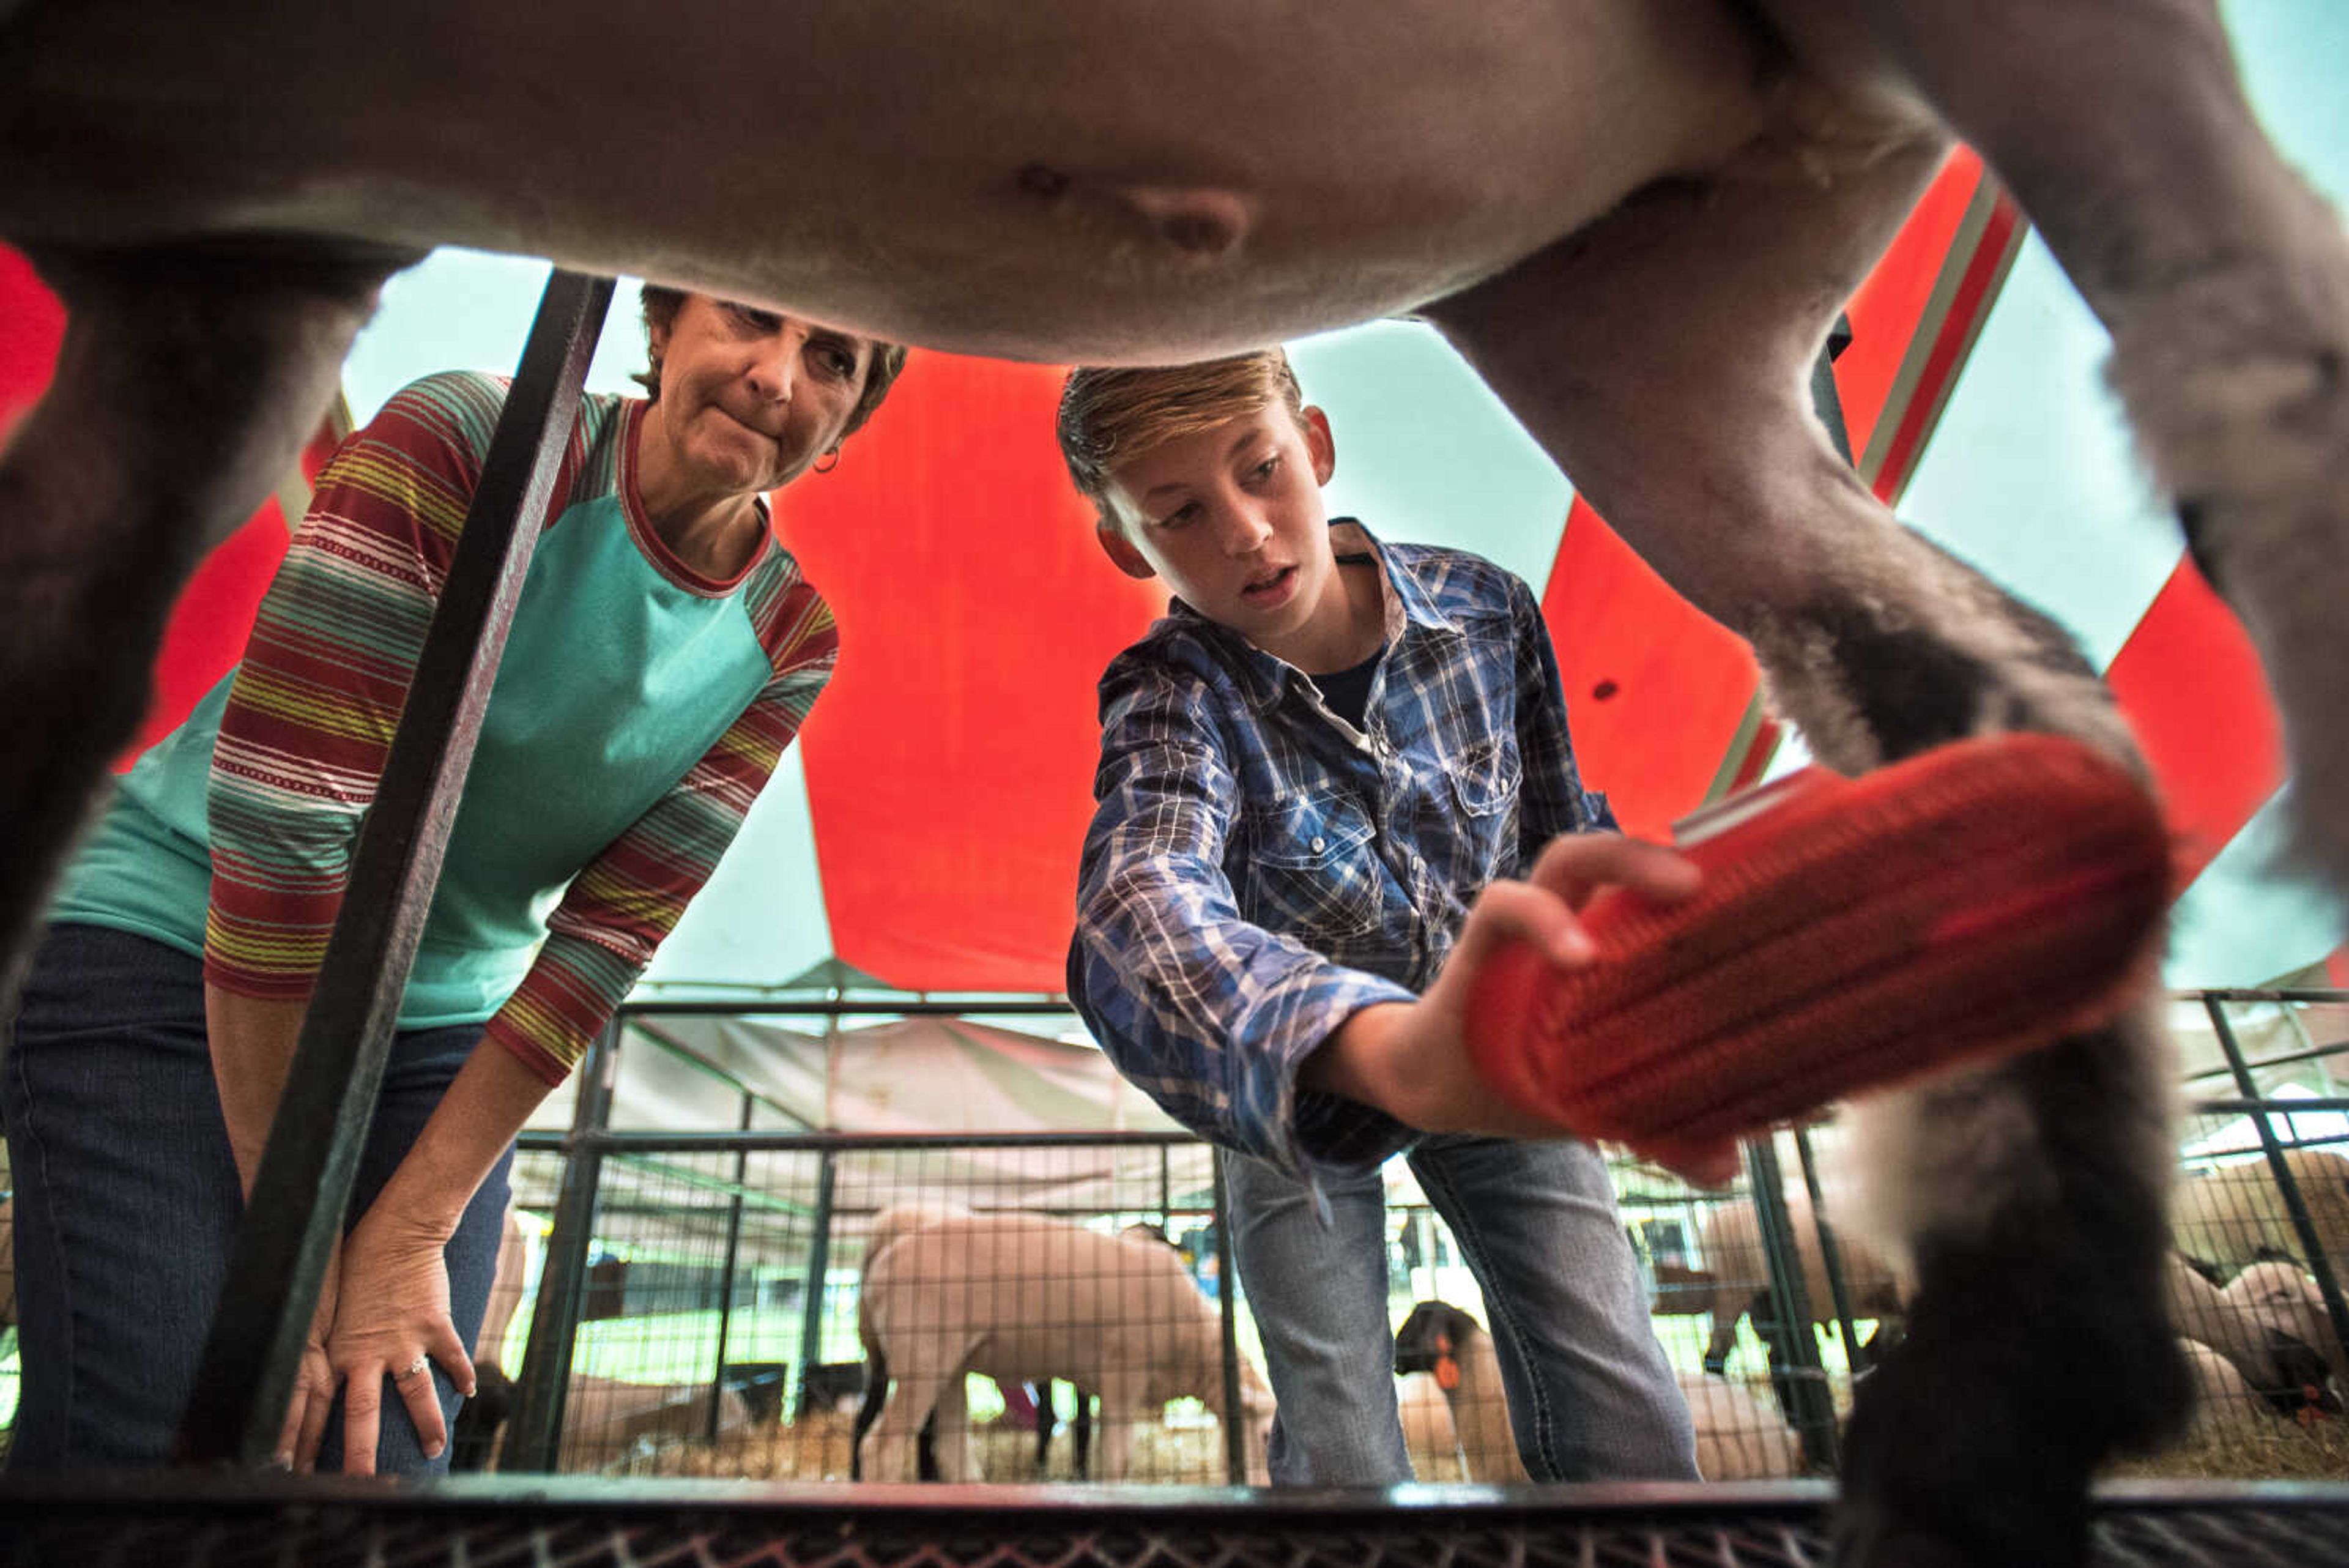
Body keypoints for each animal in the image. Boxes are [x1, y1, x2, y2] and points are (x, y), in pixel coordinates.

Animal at [859, 1213, 1277, 1495]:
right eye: (1265, 1436)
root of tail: (880, 1266)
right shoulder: (1123, 1377)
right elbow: (1117, 1459)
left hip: (952, 1362)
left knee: (949, 1446)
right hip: (923, 1356)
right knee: (881, 1444)